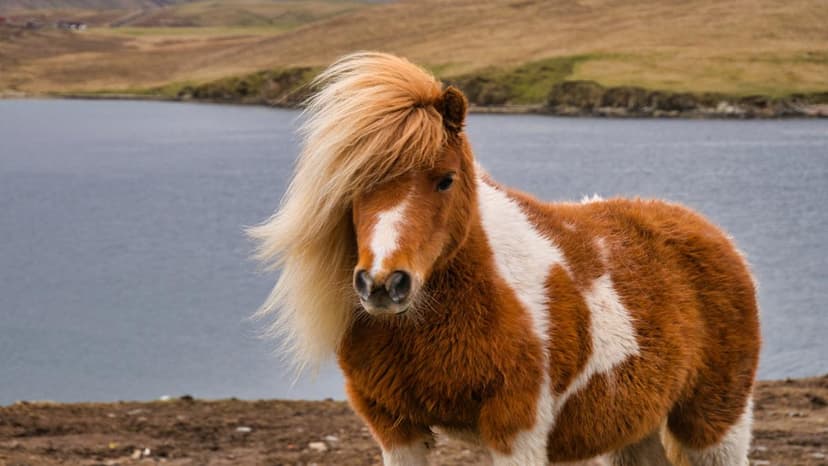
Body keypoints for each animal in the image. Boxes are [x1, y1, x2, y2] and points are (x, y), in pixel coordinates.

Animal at [249, 52, 761, 466]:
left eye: (446, 179)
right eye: (354, 182)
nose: (383, 284)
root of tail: (712, 234)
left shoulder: (515, 432)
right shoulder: (396, 429)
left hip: (715, 426)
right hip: (635, 431)